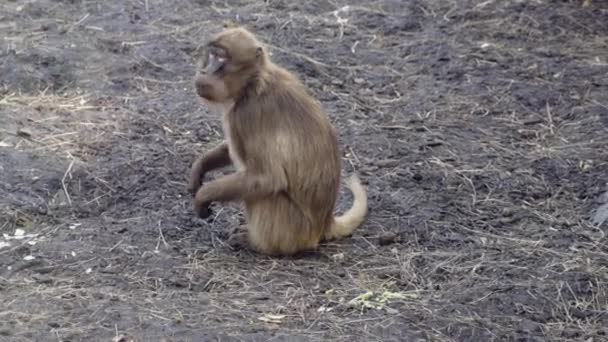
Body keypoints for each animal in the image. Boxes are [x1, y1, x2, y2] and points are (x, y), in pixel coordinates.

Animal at [188, 26, 366, 255]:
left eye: (221, 58)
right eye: (211, 55)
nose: (204, 72)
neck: (254, 82)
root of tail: (325, 223)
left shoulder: (247, 114)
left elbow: (267, 179)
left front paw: (203, 195)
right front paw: (200, 167)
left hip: (292, 230)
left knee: (264, 192)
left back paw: (256, 244)